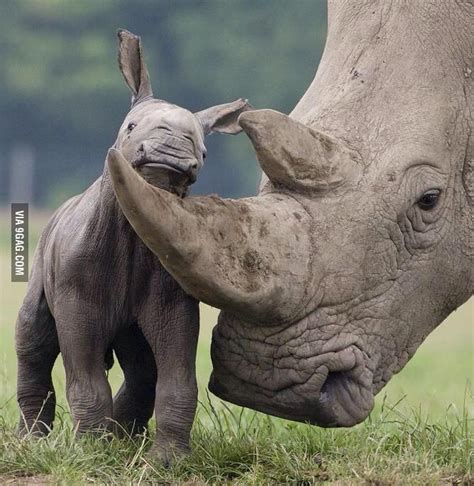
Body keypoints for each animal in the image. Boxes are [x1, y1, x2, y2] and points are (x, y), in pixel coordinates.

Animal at [15, 28, 252, 462]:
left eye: (203, 152)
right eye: (131, 127)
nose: (170, 156)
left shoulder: (174, 302)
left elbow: (177, 376)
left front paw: (168, 460)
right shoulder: (77, 299)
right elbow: (85, 377)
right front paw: (92, 452)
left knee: (142, 364)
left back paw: (126, 438)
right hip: (41, 260)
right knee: (33, 335)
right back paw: (33, 441)